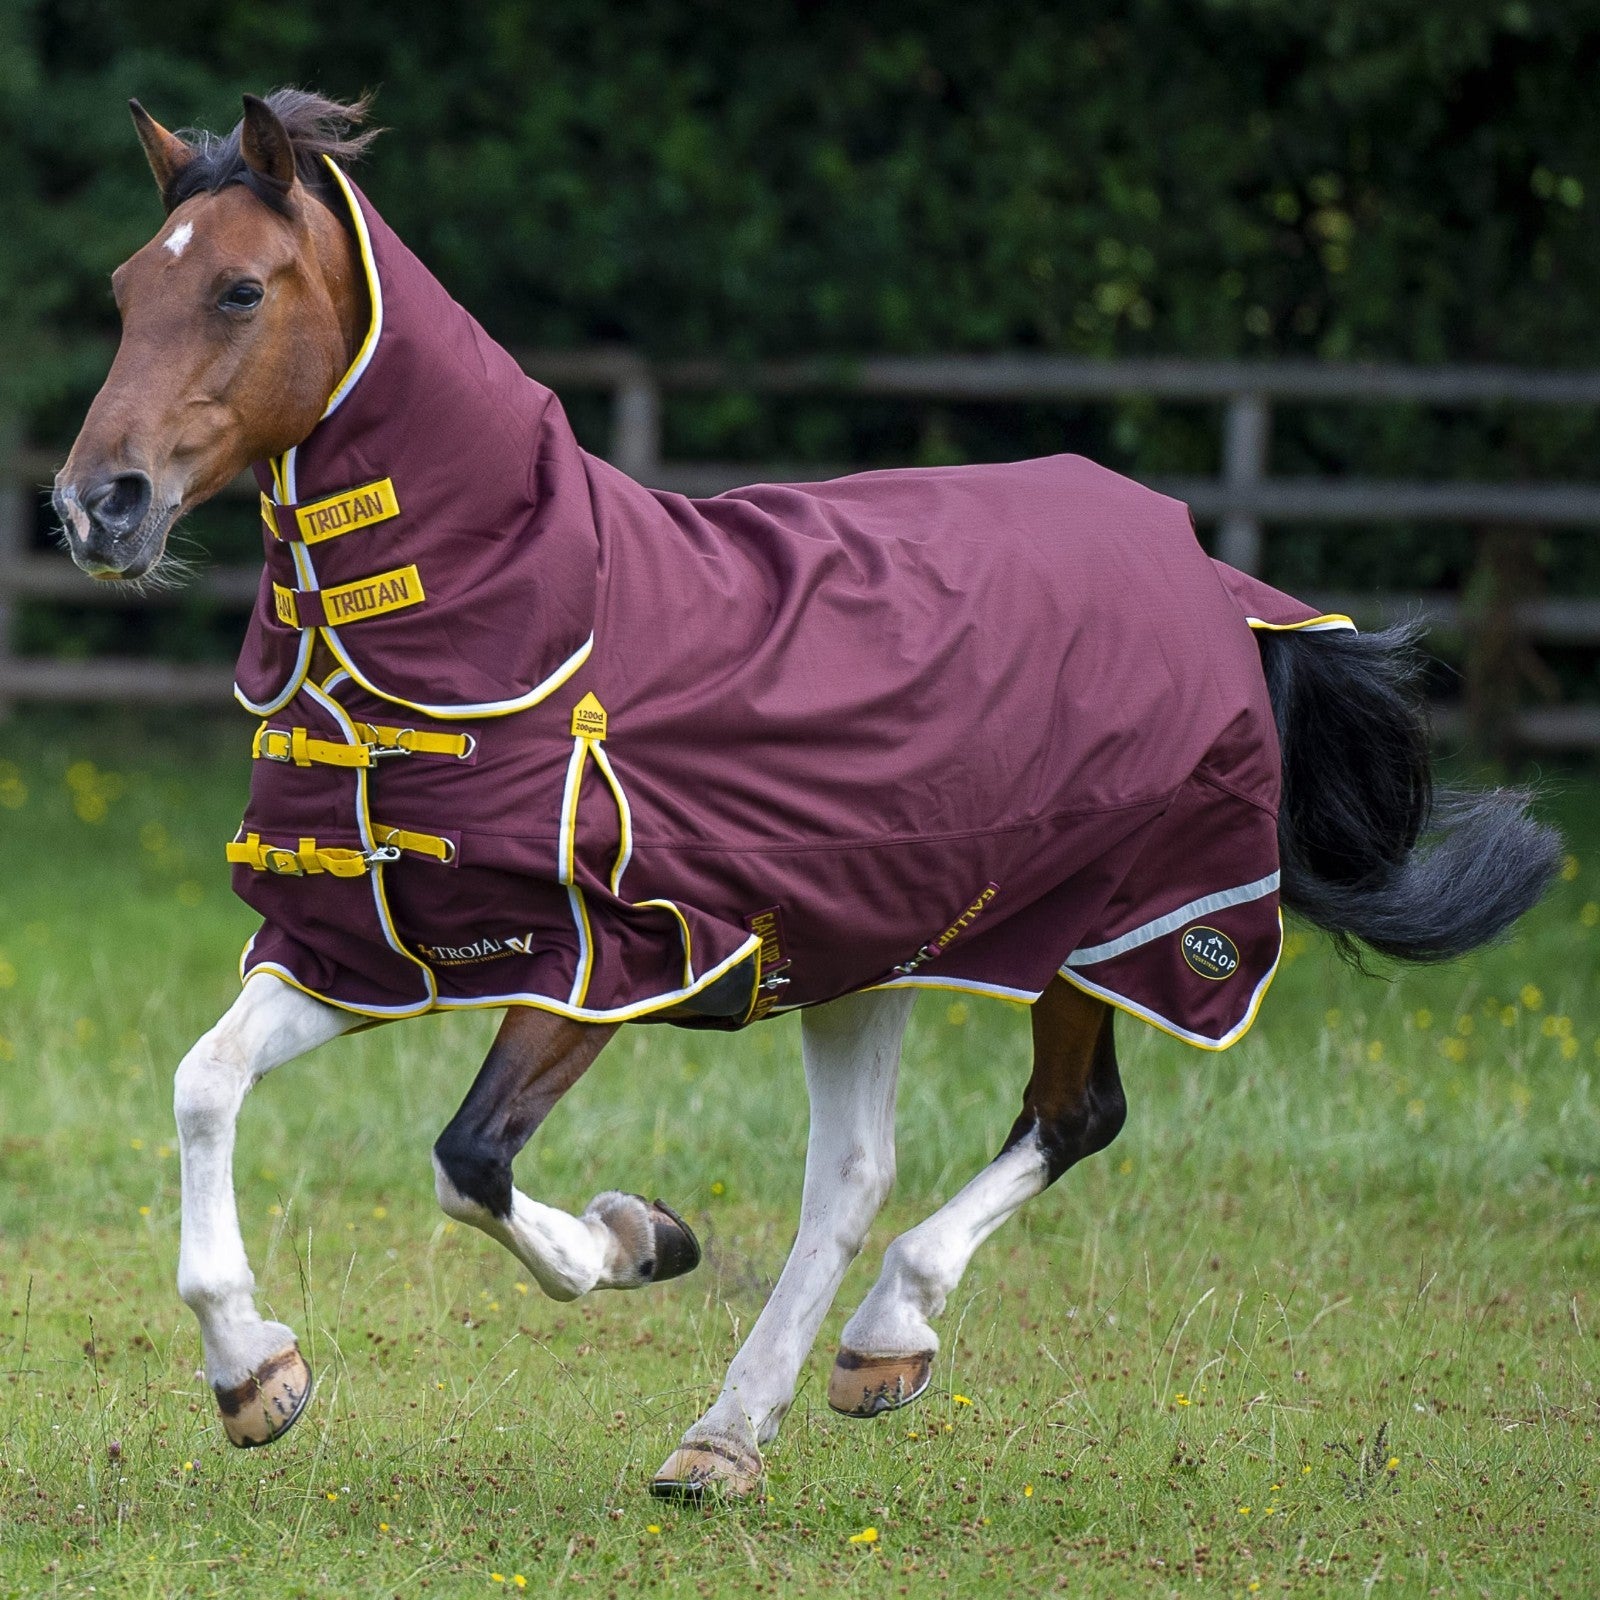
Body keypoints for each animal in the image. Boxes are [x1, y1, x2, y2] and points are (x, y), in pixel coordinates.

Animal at [53, 91, 1560, 1498]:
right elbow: (204, 1085)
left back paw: (882, 1338)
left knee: (1070, 1119)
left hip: (1110, 930)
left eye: (240, 289)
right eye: (126, 290)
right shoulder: (378, 950)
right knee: (852, 1176)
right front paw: (254, 1374)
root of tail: (1215, 579)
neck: (510, 628)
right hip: (867, 945)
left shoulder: (610, 956)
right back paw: (727, 1437)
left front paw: (632, 1239)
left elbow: (468, 1160)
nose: (95, 508)